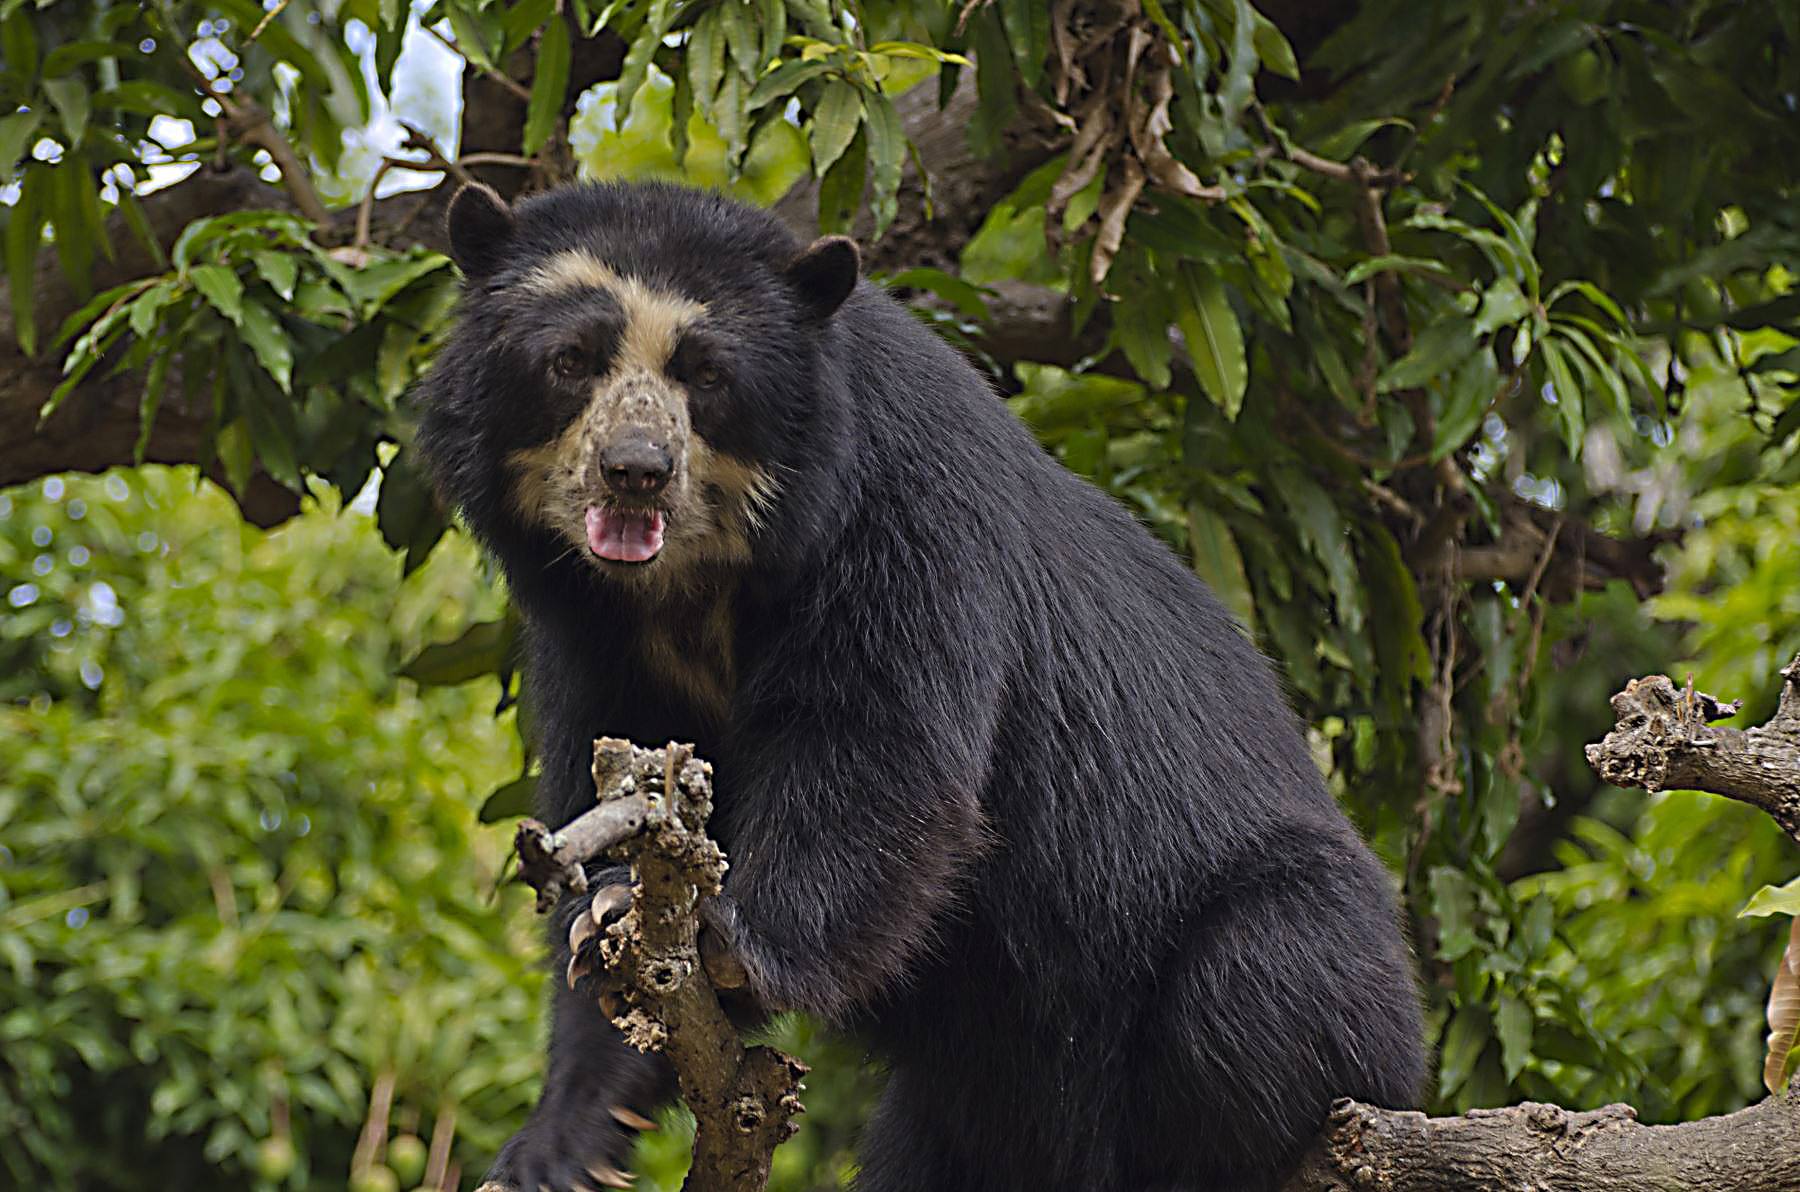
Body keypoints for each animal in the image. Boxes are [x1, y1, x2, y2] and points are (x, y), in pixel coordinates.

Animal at [414, 179, 1425, 1192]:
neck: (694, 586)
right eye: (571, 361)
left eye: (707, 374)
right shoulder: (589, 636)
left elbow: (879, 747)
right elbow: (611, 794)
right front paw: (564, 1120)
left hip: (1296, 962)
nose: (635, 473)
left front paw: (727, 943)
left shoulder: (901, 512)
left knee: (1254, 985)